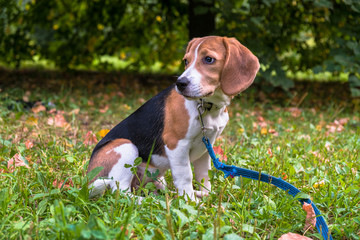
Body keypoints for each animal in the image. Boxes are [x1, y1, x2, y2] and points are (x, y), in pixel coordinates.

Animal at [88, 36, 260, 201]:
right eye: (186, 61)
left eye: (208, 59)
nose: (180, 83)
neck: (208, 107)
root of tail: (88, 180)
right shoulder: (176, 145)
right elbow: (186, 176)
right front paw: (191, 202)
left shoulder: (206, 147)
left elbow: (204, 176)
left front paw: (206, 195)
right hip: (126, 147)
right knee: (120, 192)